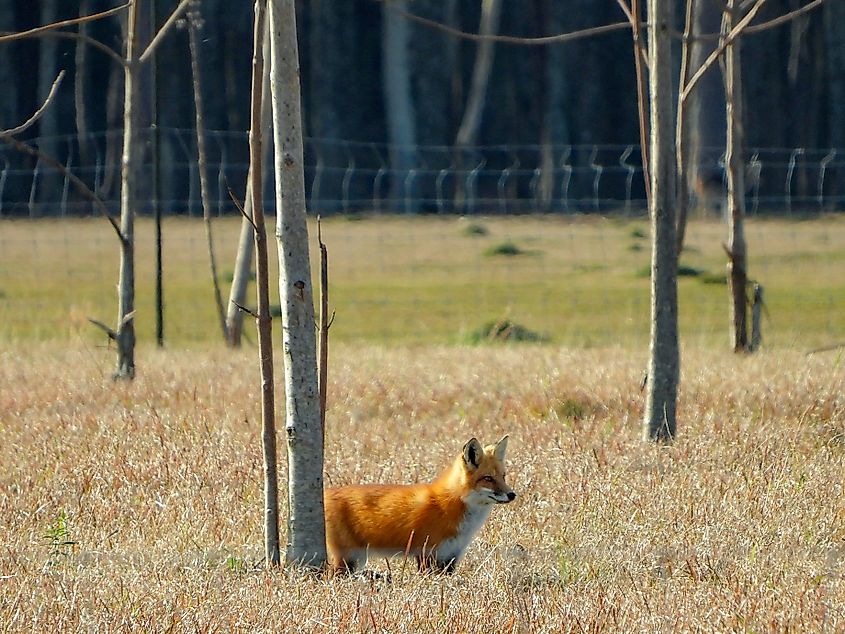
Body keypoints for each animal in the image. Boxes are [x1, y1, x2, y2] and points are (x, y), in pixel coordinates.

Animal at [324, 434, 516, 572]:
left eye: (503, 476)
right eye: (488, 478)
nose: (512, 495)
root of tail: (325, 492)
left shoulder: (450, 557)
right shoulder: (426, 554)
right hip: (346, 560)